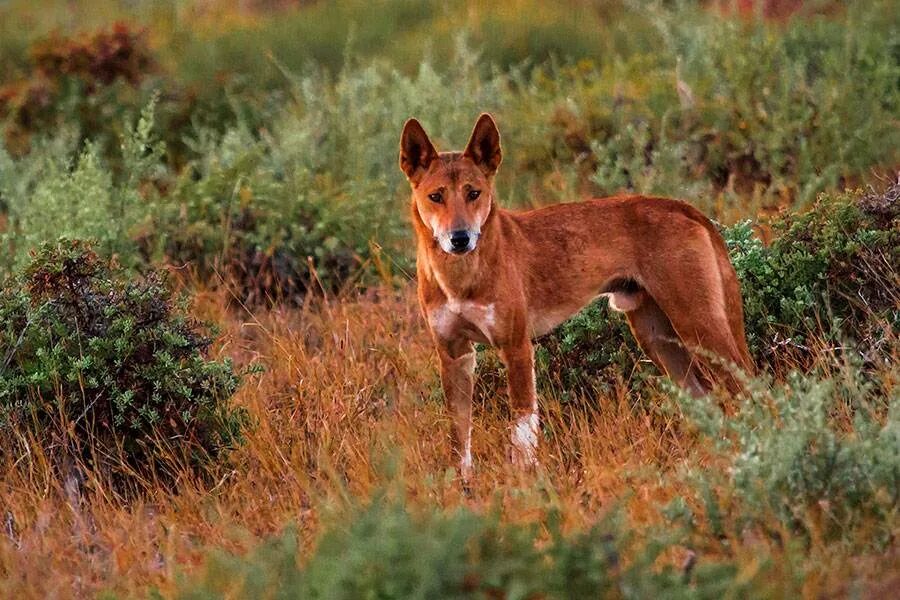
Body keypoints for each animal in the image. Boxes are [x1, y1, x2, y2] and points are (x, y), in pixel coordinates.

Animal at [400, 113, 752, 482]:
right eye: (436, 196)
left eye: (473, 193)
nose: (460, 238)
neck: (458, 279)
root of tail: (682, 206)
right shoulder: (454, 355)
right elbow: (459, 440)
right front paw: (462, 486)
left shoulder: (516, 347)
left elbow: (521, 433)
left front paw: (524, 483)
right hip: (659, 341)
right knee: (710, 406)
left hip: (699, 329)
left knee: (754, 393)